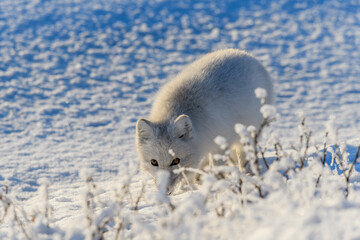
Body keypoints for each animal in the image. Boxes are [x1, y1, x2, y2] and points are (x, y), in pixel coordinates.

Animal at [135, 48, 272, 193]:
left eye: (176, 161)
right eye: (154, 162)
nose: (164, 191)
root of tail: (243, 53)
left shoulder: (219, 143)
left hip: (247, 132)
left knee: (244, 154)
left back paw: (247, 173)